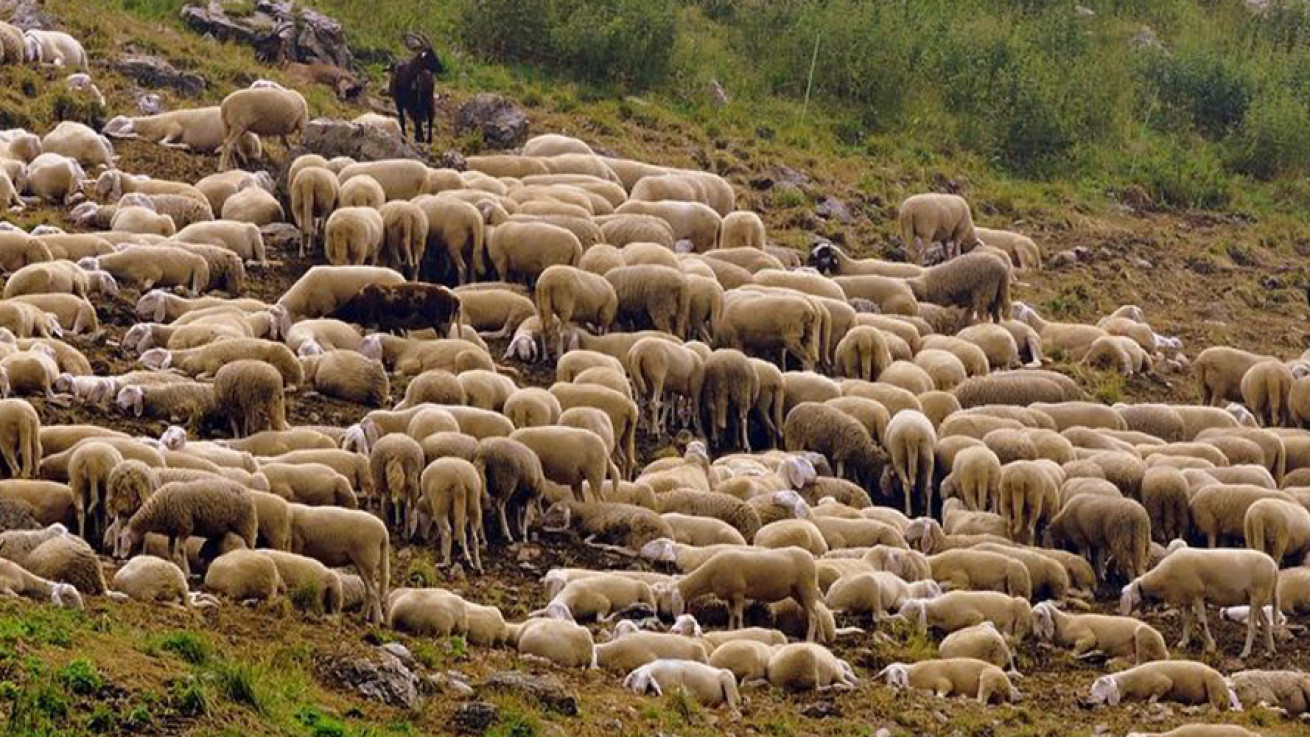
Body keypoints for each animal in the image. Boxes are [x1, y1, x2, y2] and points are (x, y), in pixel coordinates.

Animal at [655, 547, 817, 641]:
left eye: (667, 596)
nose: (663, 614)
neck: (710, 575)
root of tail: (811, 557)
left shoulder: (739, 594)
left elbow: (738, 616)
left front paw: (740, 631)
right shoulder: (729, 597)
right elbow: (731, 615)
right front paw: (730, 631)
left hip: (806, 587)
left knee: (814, 615)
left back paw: (809, 640)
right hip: (797, 592)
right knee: (816, 613)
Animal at [880, 659, 1021, 706]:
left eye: (898, 671)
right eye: (886, 675)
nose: (894, 683)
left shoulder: (943, 682)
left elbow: (940, 694)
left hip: (987, 678)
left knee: (981, 701)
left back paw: (963, 698)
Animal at [1032, 602, 1168, 665]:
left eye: (1040, 616)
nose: (1036, 635)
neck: (1065, 622)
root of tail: (1165, 651)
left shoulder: (1087, 638)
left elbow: (1072, 654)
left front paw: (1095, 654)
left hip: (1143, 634)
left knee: (1140, 662)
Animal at [1084, 659, 1236, 712]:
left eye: (1100, 687)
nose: (1088, 701)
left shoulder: (1164, 683)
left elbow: (1156, 694)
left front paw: (1150, 702)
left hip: (1212, 685)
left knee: (1215, 706)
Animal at [1116, 547, 1278, 657]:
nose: (1123, 616)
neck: (1165, 579)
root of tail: (1274, 566)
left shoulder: (1197, 595)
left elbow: (1201, 621)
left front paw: (1211, 647)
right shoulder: (1187, 598)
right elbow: (1186, 621)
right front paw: (1183, 643)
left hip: (1257, 595)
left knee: (1252, 625)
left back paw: (1245, 653)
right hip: (1257, 598)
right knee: (1265, 623)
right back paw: (1270, 650)